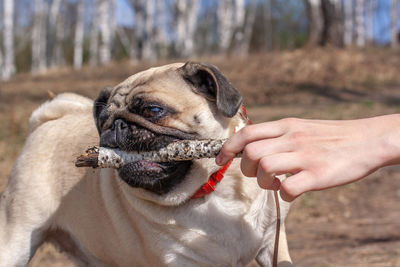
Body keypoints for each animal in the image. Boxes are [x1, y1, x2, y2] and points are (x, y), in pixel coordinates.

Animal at [0, 63, 290, 267]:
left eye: (153, 110)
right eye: (103, 121)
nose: (116, 125)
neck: (210, 189)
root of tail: (46, 123)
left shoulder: (272, 244)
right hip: (16, 240)